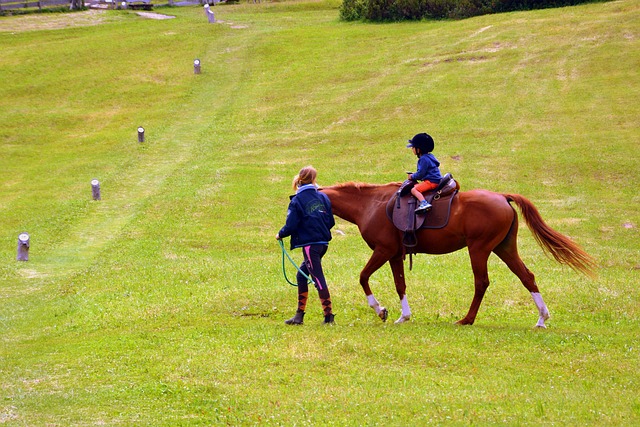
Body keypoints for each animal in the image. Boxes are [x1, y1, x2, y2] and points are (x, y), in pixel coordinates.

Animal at [320, 182, 596, 327]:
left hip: (479, 249)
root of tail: (502, 197)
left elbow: (363, 277)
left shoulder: (384, 250)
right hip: (504, 248)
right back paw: (541, 318)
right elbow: (400, 285)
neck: (371, 204)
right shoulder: (395, 255)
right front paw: (404, 316)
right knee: (527, 277)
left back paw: (467, 319)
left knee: (481, 282)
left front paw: (380, 310)